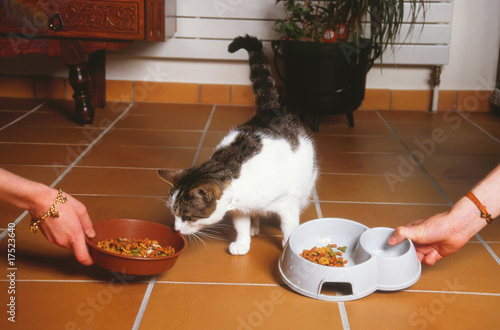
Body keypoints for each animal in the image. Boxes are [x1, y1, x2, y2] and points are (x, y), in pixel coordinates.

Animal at [158, 34, 318, 255]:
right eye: (173, 214)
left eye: (187, 217)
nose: (176, 229)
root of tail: (268, 110)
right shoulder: (240, 209)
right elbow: (241, 226)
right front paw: (242, 244)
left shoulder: (287, 204)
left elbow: (288, 227)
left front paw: (288, 247)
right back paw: (254, 226)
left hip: (306, 182)